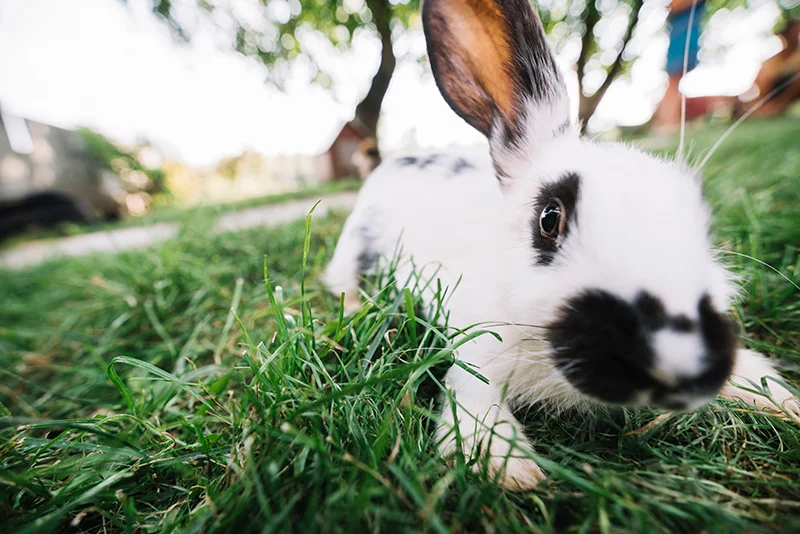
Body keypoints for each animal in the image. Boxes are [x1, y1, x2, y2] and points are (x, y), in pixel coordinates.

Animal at [324, 0, 800, 494]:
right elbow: (472, 391)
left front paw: (781, 400)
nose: (678, 360)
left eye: (701, 219)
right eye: (549, 219)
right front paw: (505, 467)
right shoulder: (475, 348)